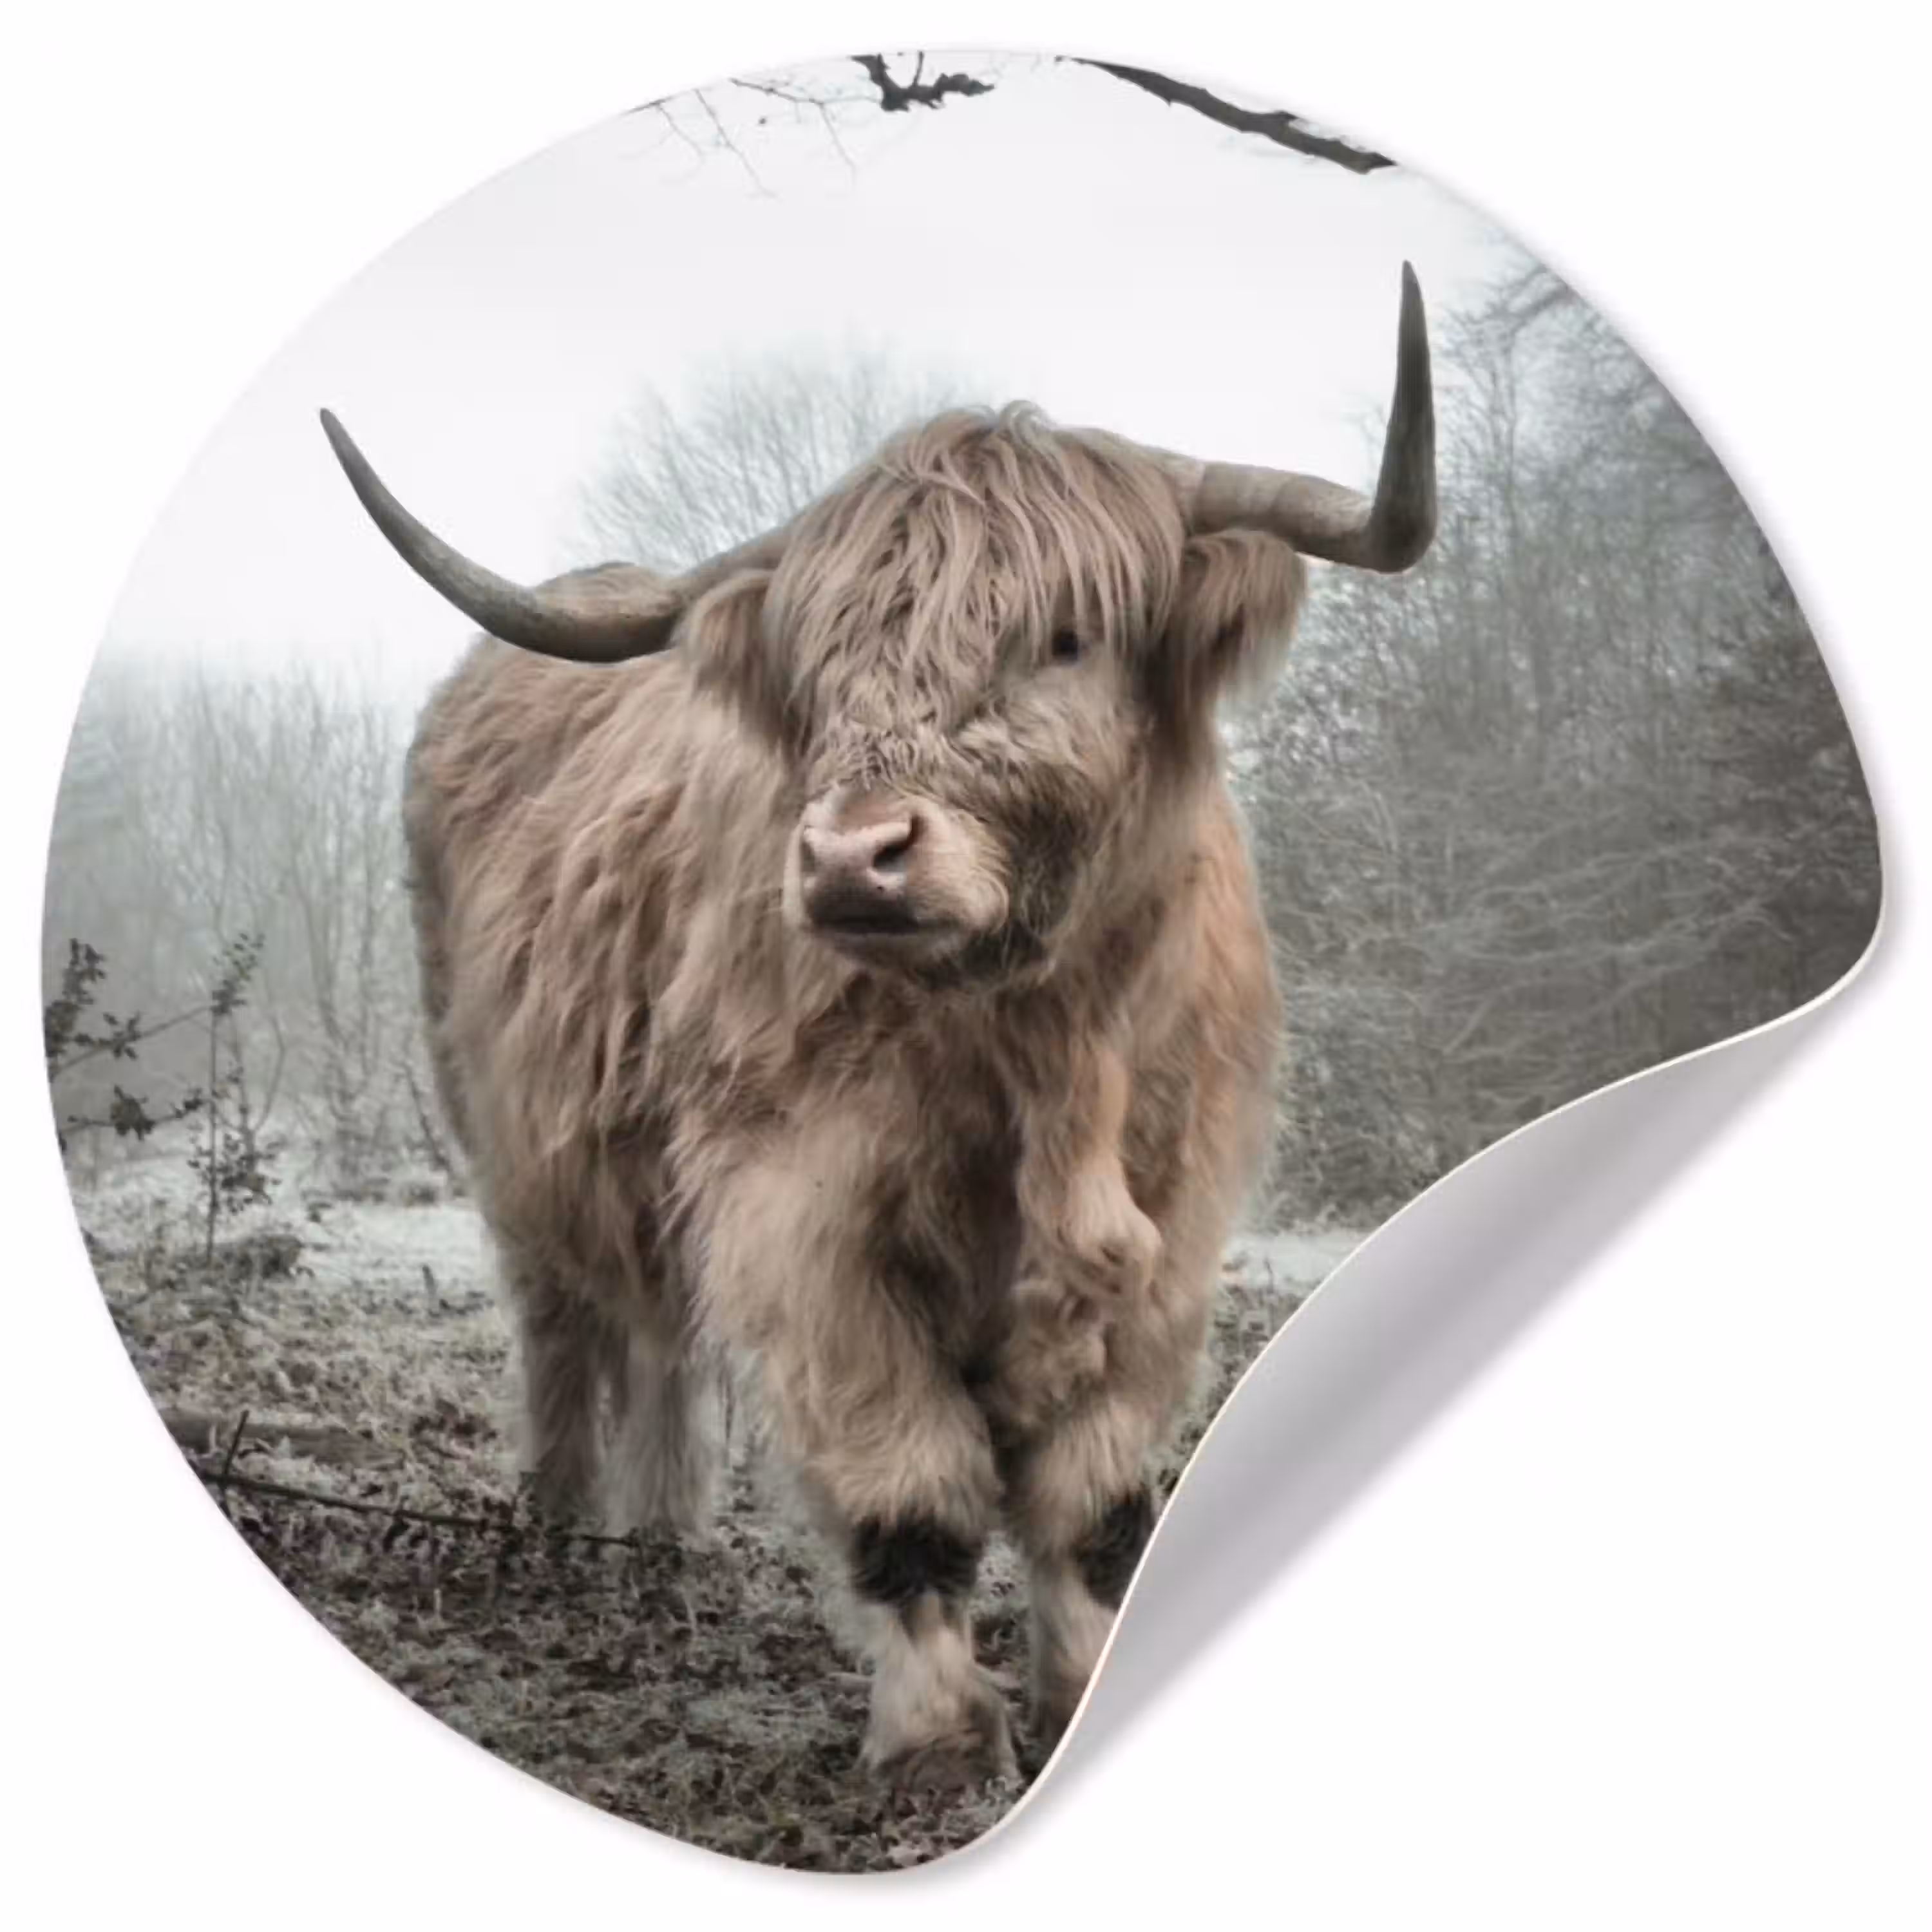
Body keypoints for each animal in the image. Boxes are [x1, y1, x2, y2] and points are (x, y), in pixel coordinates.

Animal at [319, 265, 1435, 1787]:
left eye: (1066, 637)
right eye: (823, 666)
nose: (855, 858)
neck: (1039, 1051)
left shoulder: (1174, 1223)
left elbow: (1092, 1502)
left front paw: (1078, 1687)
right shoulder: (804, 1215)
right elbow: (911, 1487)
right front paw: (940, 1738)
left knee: (660, 1336)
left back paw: (665, 1541)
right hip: (505, 1134)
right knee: (567, 1325)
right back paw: (561, 1532)